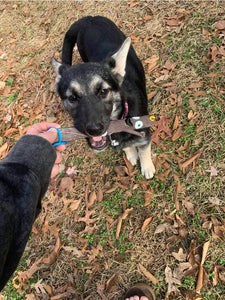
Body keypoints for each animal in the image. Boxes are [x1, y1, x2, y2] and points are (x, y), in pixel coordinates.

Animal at [52, 15, 155, 178]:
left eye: (103, 91)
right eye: (72, 97)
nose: (94, 130)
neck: (123, 119)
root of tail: (89, 18)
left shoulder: (144, 134)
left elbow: (144, 150)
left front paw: (147, 167)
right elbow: (127, 148)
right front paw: (131, 154)